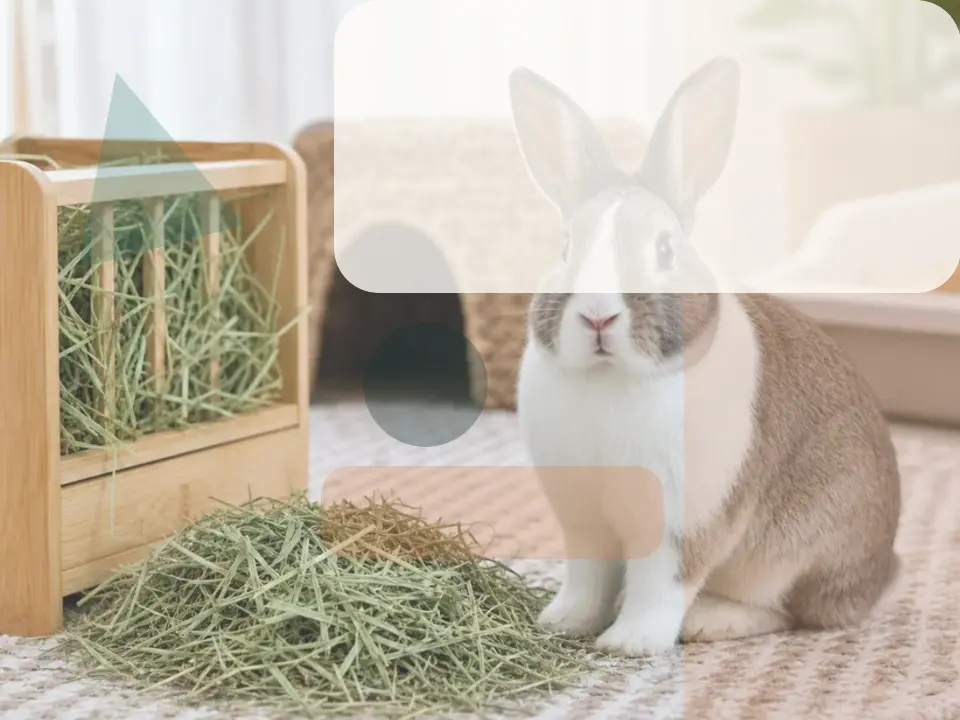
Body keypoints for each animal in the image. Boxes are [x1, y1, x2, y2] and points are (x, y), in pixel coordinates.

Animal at [508, 56, 902, 657]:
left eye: (665, 249)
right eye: (567, 247)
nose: (598, 317)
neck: (611, 377)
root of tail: (882, 571)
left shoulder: (680, 523)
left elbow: (660, 585)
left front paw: (629, 643)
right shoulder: (584, 520)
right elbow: (588, 577)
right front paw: (563, 621)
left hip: (796, 553)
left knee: (792, 611)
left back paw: (710, 621)